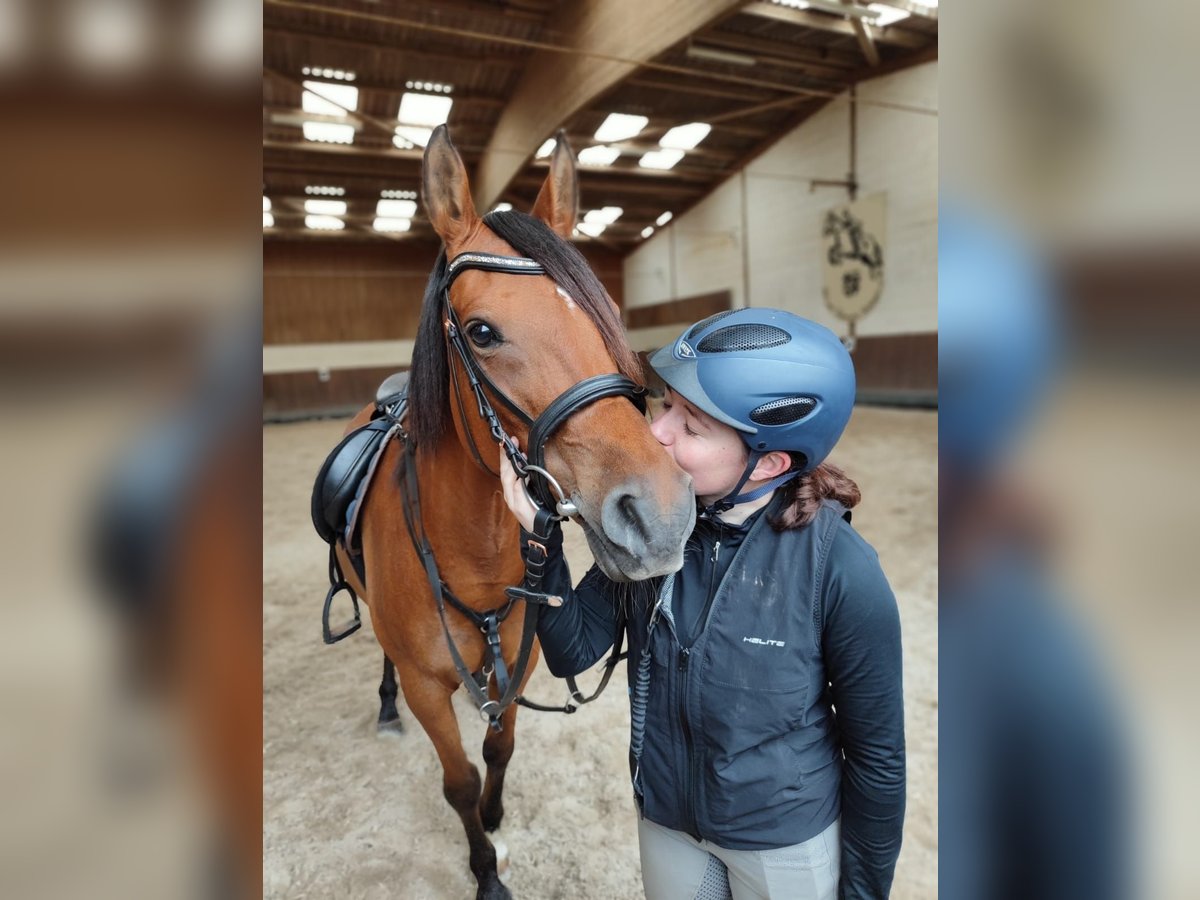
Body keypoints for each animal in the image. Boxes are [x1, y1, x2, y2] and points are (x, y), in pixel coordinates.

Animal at [336, 127, 696, 900]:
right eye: (480, 330)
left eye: (608, 311)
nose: (660, 515)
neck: (469, 547)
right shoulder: (429, 689)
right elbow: (458, 782)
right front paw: (485, 871)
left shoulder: (522, 663)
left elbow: (500, 747)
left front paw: (497, 816)